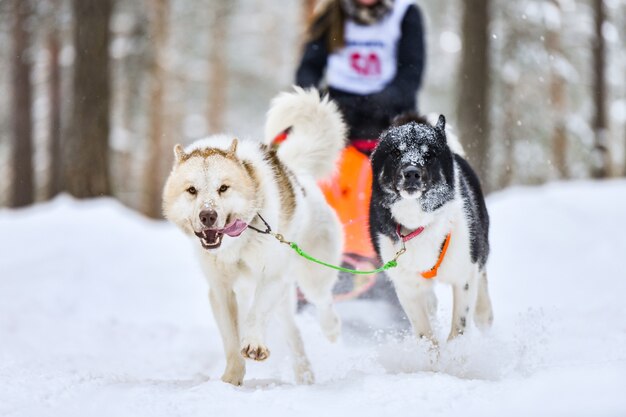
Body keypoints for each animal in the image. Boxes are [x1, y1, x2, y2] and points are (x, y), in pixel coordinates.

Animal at [161, 87, 346, 384]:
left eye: (223, 188)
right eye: (192, 190)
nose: (208, 216)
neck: (236, 245)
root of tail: (297, 173)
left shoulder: (271, 276)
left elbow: (255, 316)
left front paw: (254, 345)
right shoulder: (221, 290)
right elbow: (230, 338)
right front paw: (232, 377)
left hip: (311, 275)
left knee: (323, 301)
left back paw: (331, 330)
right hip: (281, 294)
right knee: (293, 333)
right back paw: (304, 374)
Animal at [366, 115, 492, 342]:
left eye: (429, 154)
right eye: (395, 152)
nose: (411, 173)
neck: (419, 223)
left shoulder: (464, 277)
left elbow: (458, 329)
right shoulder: (406, 286)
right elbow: (425, 334)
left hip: (479, 247)